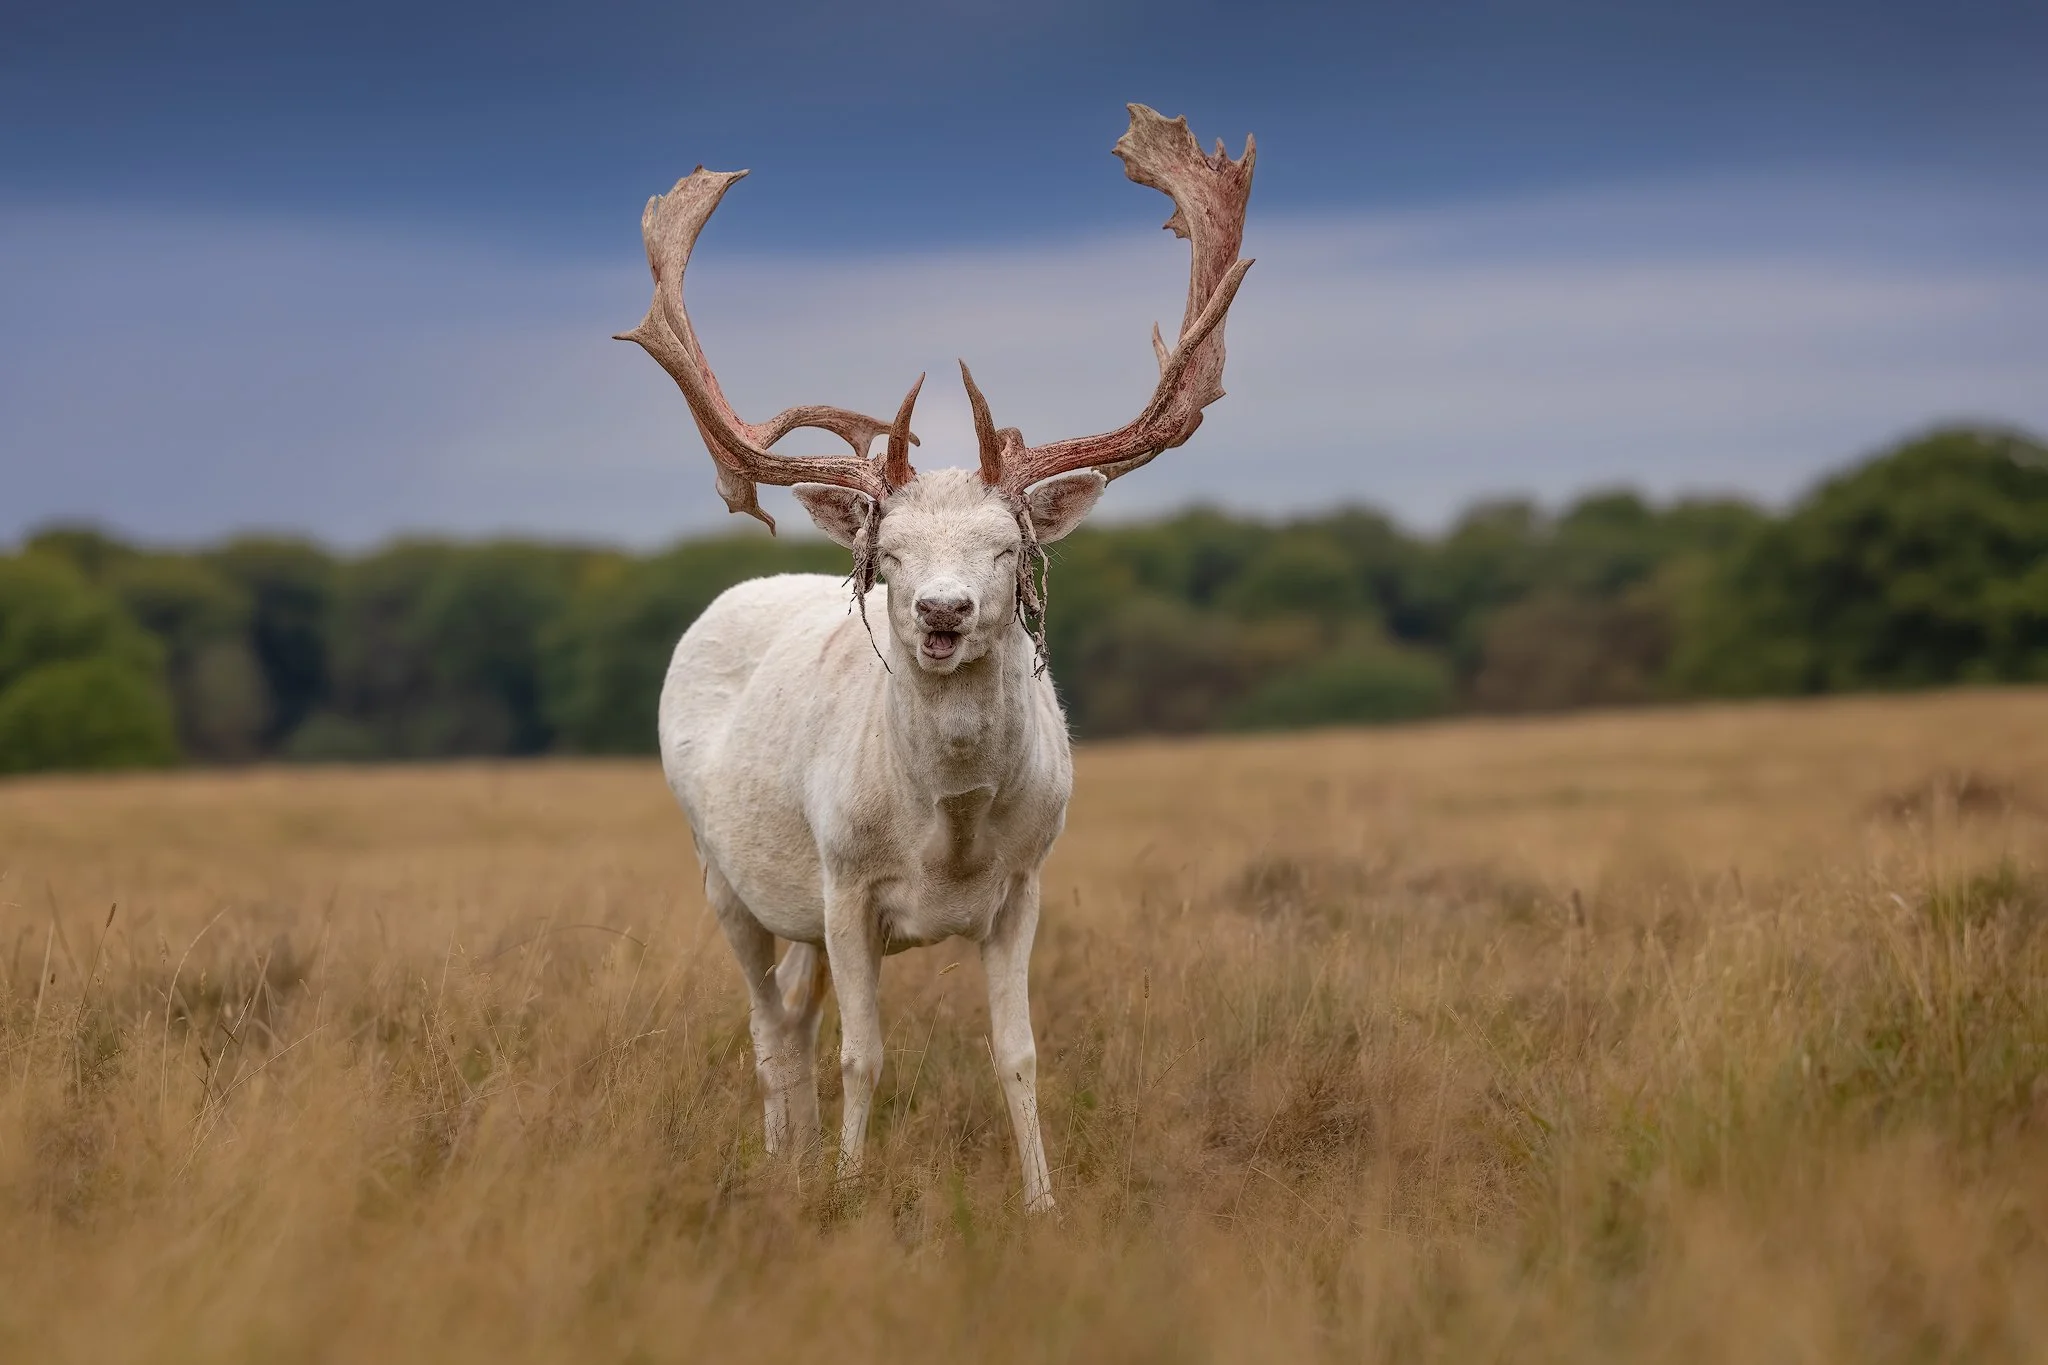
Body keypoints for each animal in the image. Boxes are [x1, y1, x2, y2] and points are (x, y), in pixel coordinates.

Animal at [618, 105, 1254, 1214]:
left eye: (1006, 548)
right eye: (891, 554)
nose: (943, 612)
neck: (947, 830)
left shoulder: (1024, 883)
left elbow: (1020, 1055)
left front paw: (1043, 1204)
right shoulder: (843, 884)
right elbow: (863, 1056)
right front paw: (846, 1192)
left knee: (793, 1012)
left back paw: (792, 1157)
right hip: (721, 872)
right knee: (769, 1027)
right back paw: (784, 1166)